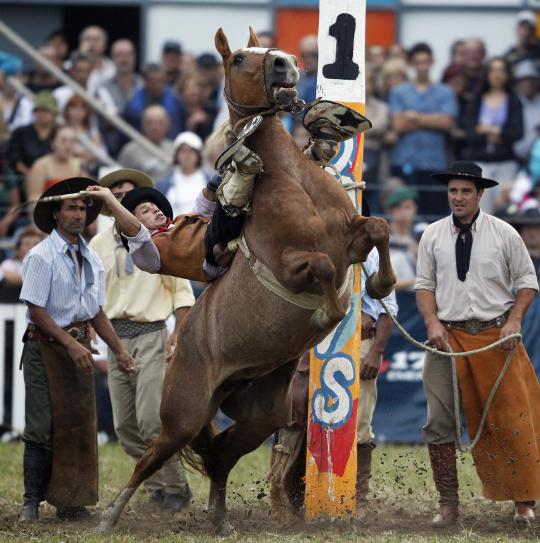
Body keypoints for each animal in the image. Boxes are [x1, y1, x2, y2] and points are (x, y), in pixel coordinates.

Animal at [97, 27, 394, 532]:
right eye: (238, 58)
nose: (285, 62)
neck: (292, 180)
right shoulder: (292, 264)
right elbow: (322, 268)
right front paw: (329, 311)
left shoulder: (351, 238)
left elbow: (379, 228)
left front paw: (381, 284)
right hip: (184, 410)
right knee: (153, 456)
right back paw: (111, 516)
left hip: (261, 413)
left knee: (221, 458)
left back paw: (219, 518)